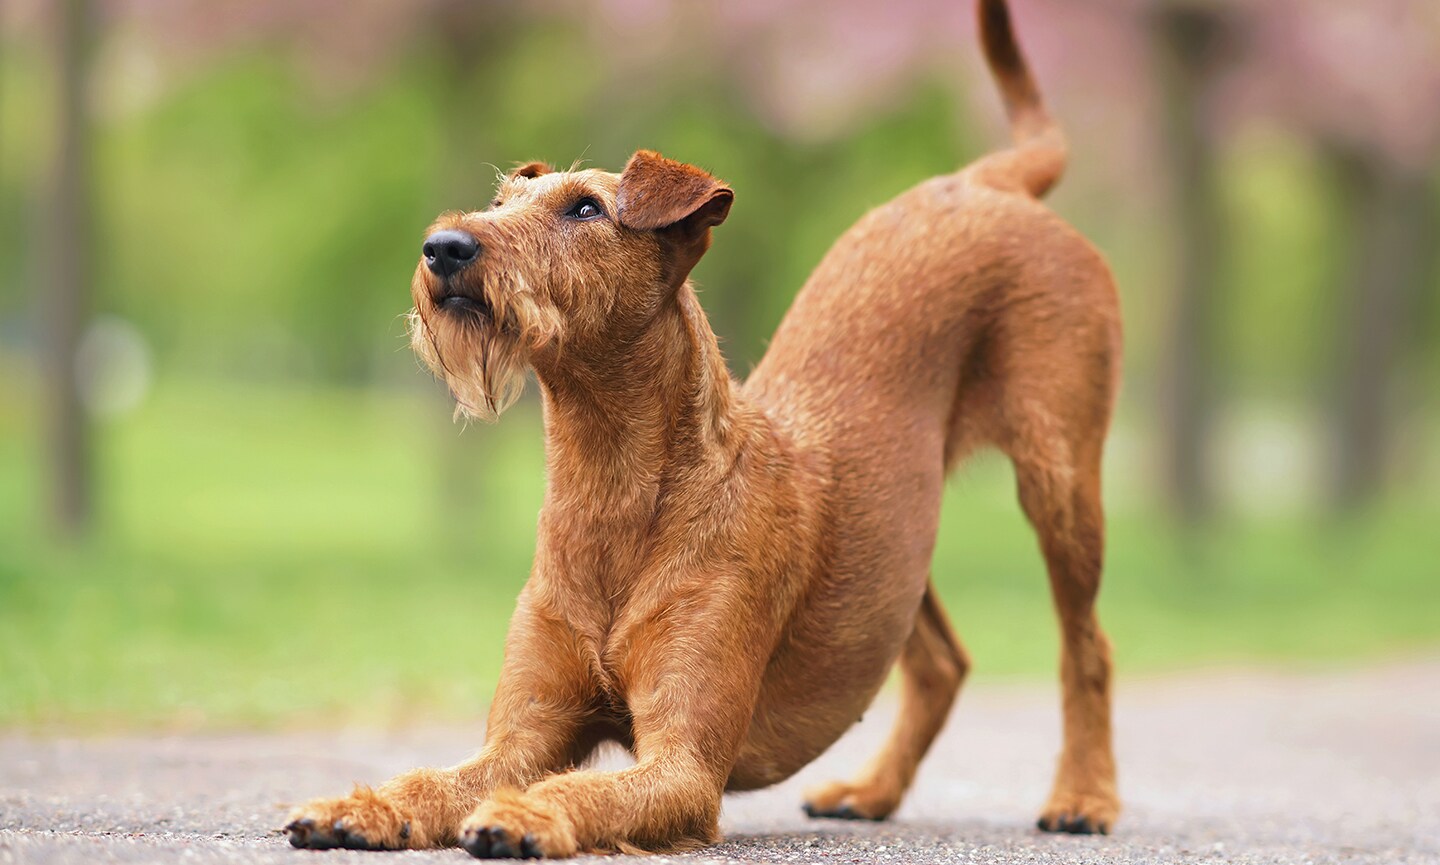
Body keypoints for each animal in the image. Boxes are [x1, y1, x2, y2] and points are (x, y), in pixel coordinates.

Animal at [283, 0, 1123, 852]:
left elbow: (582, 789)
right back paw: (872, 789)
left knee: (1087, 647)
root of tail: (987, 183)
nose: (443, 245)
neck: (610, 484)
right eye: (497, 207)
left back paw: (1083, 796)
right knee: (942, 661)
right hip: (897, 543)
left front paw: (525, 813)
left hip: (1059, 480)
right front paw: (361, 804)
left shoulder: (685, 764)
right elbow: (434, 777)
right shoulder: (521, 733)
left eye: (585, 208)